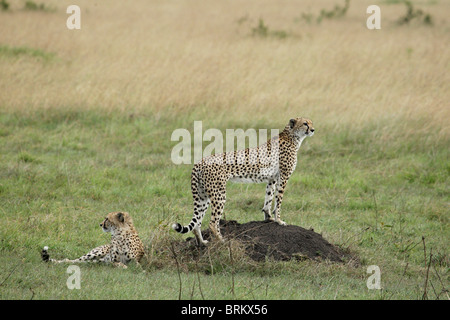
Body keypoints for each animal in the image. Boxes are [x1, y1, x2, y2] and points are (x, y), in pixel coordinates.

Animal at [171, 117, 314, 245]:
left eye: (311, 122)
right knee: (212, 223)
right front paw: (279, 220)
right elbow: (278, 201)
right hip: (219, 194)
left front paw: (269, 218)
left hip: (202, 195)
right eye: (305, 123)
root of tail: (200, 161)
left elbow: (268, 198)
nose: (313, 129)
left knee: (197, 223)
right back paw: (222, 241)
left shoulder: (272, 179)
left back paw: (202, 243)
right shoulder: (283, 177)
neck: (291, 136)